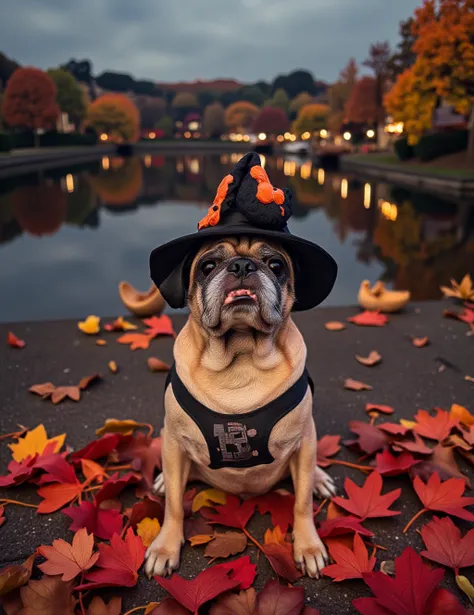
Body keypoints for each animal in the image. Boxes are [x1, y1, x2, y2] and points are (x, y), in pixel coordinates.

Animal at [144, 235, 336, 576]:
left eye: (276, 265)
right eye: (208, 266)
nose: (243, 265)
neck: (241, 357)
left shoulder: (303, 442)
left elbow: (301, 503)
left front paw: (308, 546)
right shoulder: (175, 442)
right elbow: (174, 507)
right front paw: (165, 547)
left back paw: (319, 479)